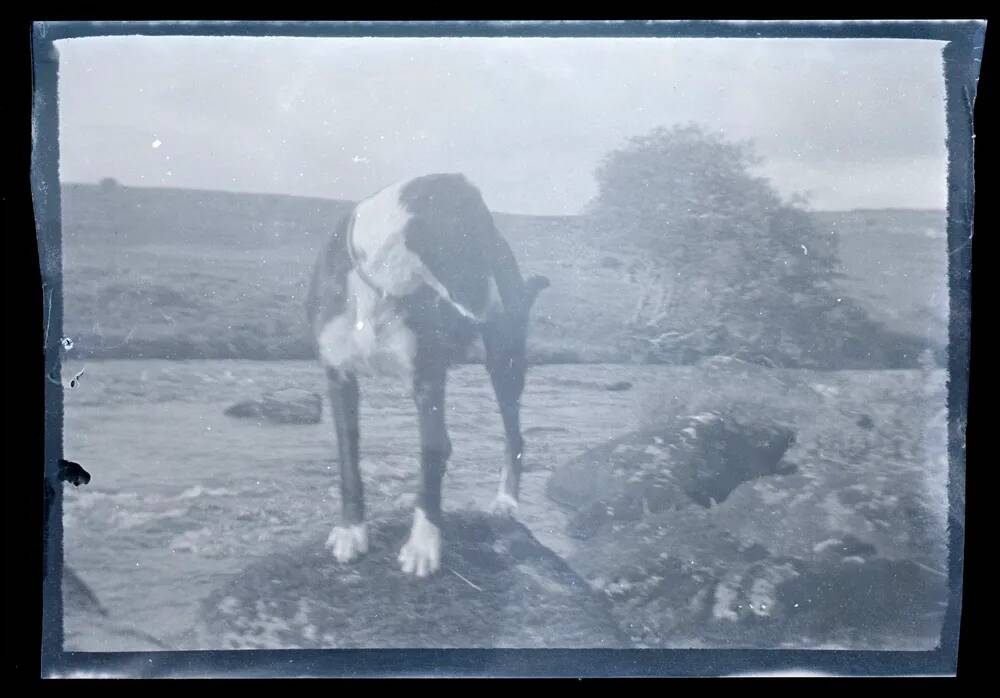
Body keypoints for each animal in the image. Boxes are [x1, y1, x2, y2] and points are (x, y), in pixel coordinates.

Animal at [308, 174, 552, 576]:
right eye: (473, 239)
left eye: (490, 243)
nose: (499, 302)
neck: (382, 284)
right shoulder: (339, 375)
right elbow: (348, 463)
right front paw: (352, 530)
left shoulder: (428, 379)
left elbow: (430, 455)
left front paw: (424, 543)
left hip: (506, 365)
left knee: (514, 436)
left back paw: (506, 501)